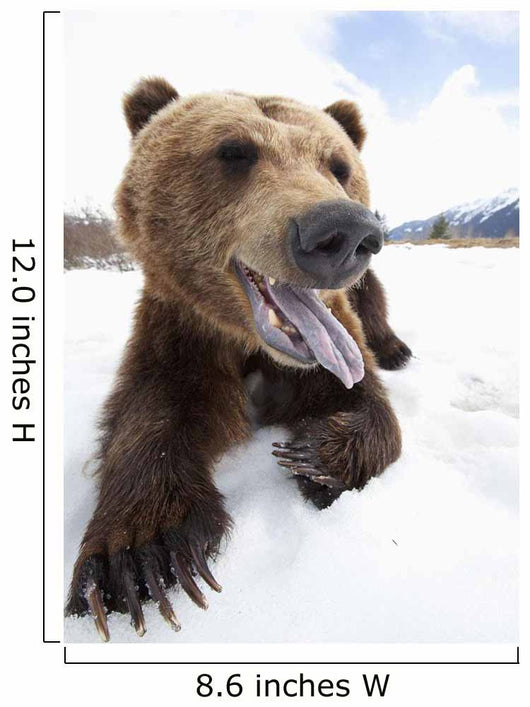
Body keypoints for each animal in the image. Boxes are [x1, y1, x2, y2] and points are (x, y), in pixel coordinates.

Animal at [66, 77, 412, 641]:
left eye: (339, 166)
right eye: (234, 151)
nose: (342, 230)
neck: (249, 343)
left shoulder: (334, 341)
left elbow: (370, 404)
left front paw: (311, 454)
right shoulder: (180, 330)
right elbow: (150, 409)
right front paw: (141, 555)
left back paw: (397, 349)